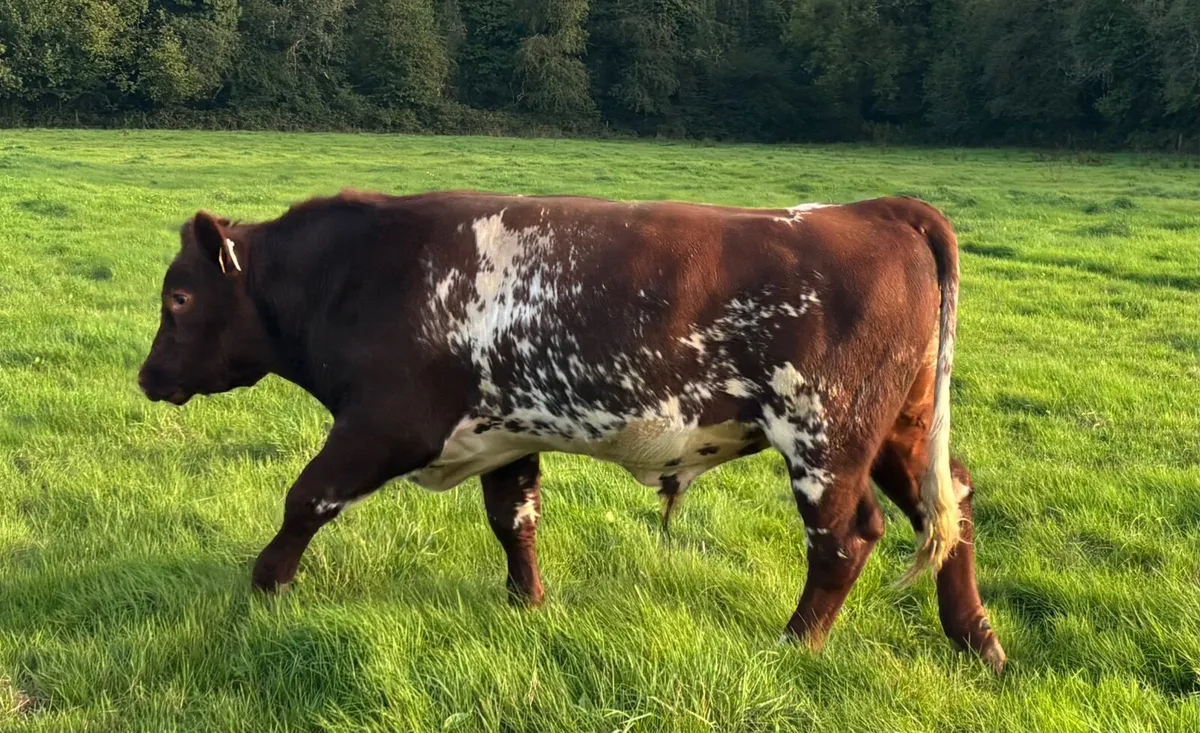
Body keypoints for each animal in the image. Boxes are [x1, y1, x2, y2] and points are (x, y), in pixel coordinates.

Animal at [137, 189, 1005, 673]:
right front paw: (527, 602)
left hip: (824, 434)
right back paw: (977, 640)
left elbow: (306, 497)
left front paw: (264, 585)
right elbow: (514, 518)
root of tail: (875, 210)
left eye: (178, 296)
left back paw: (796, 644)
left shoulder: (384, 423)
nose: (147, 376)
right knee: (950, 502)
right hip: (901, 428)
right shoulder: (503, 433)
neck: (364, 270)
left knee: (847, 538)